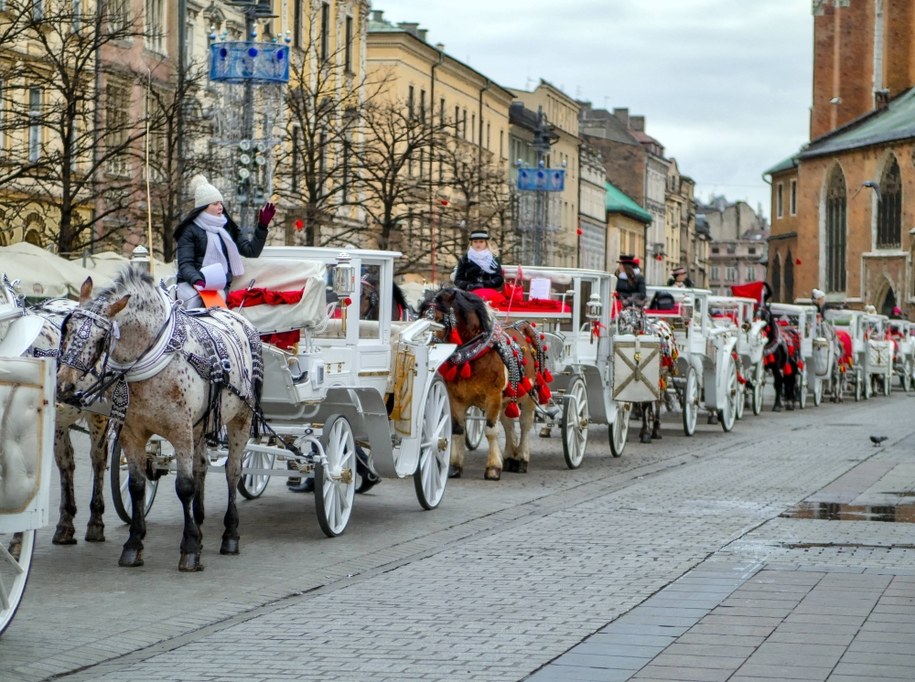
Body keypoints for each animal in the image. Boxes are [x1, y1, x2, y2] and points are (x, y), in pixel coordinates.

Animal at [420, 286, 552, 478]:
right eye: (421, 316)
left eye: (437, 320)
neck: (473, 356)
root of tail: (523, 324)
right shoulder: (455, 398)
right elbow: (458, 431)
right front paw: (454, 466)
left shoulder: (493, 396)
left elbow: (491, 431)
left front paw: (493, 467)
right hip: (508, 397)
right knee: (508, 424)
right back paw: (510, 457)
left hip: (527, 395)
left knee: (524, 424)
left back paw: (521, 458)